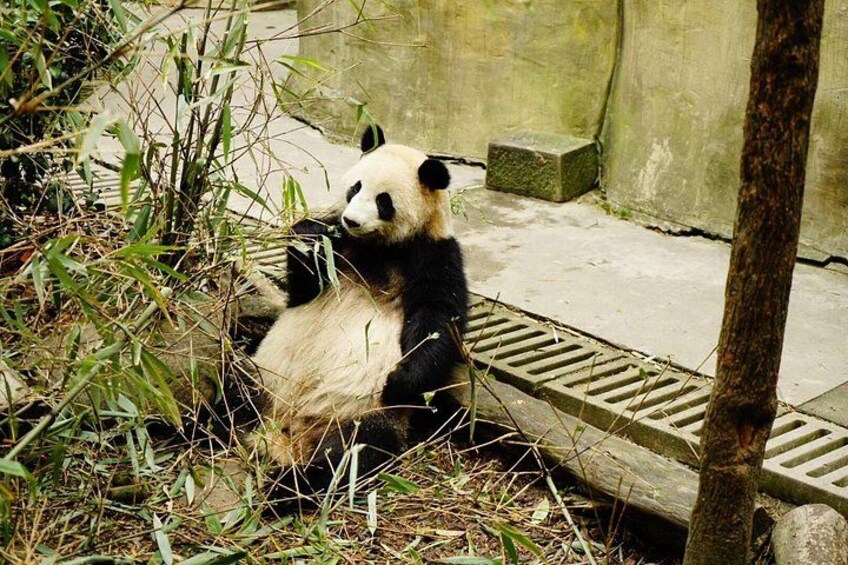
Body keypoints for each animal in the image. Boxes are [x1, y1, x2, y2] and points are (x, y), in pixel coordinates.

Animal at [249, 125, 468, 506]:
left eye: (383, 201)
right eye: (355, 187)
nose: (351, 220)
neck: (377, 247)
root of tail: (284, 433)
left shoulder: (433, 253)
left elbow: (437, 319)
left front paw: (400, 380)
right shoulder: (341, 245)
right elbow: (303, 285)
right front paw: (309, 236)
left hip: (364, 415)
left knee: (349, 456)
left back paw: (286, 488)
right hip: (264, 377)